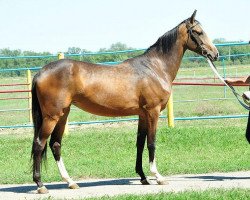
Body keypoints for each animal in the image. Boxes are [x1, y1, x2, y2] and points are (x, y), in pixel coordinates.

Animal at [31, 10, 219, 193]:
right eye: (198, 32)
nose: (215, 54)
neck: (155, 68)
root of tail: (40, 72)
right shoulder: (153, 112)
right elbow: (151, 143)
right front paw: (157, 176)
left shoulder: (142, 115)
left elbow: (140, 143)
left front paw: (143, 177)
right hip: (52, 117)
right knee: (39, 144)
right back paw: (41, 185)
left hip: (63, 115)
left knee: (55, 144)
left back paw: (70, 182)